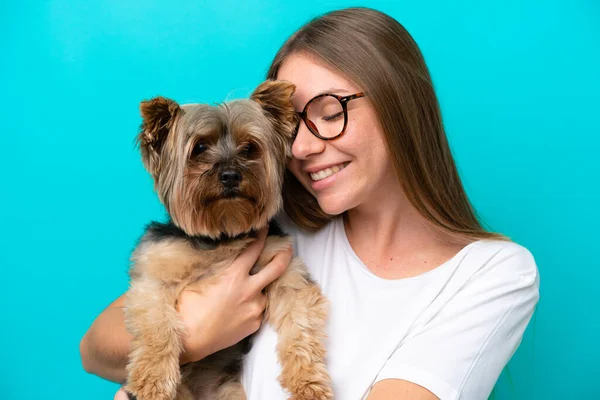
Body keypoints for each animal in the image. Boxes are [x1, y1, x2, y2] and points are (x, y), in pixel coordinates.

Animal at [122, 81, 332, 400]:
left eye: (250, 148)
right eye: (199, 148)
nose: (231, 175)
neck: (222, 235)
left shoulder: (285, 272)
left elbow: (300, 325)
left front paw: (308, 382)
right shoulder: (154, 276)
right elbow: (157, 323)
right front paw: (153, 381)